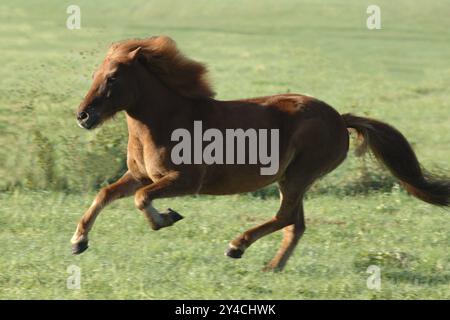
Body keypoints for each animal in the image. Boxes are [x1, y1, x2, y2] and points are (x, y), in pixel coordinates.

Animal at [72, 35, 448, 272]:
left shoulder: (185, 181)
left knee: (286, 218)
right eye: (94, 74)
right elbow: (105, 194)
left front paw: (166, 218)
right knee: (295, 224)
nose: (83, 116)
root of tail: (340, 119)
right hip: (292, 180)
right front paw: (78, 242)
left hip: (298, 176)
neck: (164, 121)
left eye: (113, 77)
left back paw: (236, 246)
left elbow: (142, 200)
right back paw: (272, 267)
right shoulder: (139, 176)